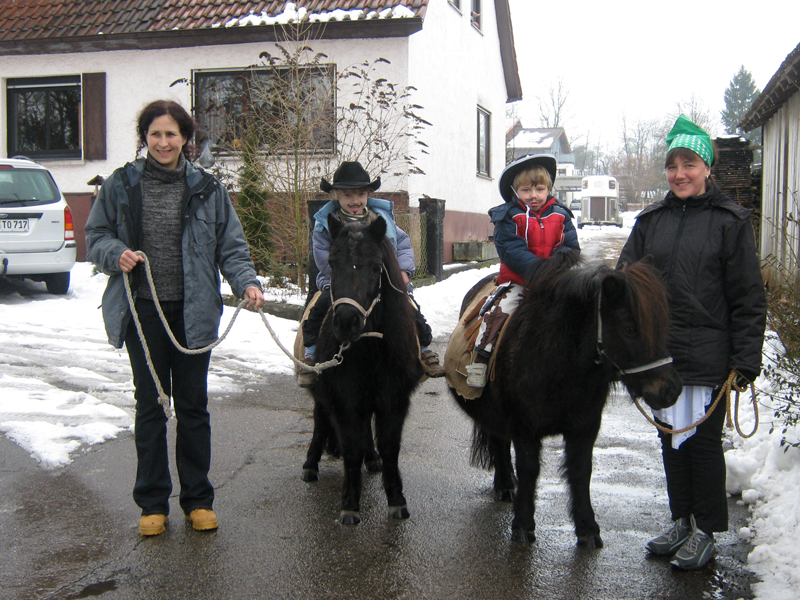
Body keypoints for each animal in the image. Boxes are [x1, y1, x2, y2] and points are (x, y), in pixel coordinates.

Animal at [301, 214, 424, 525]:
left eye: (376, 267)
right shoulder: (345, 401)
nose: (347, 322)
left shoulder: (393, 401)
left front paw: (396, 501)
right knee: (320, 421)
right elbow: (351, 450)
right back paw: (310, 465)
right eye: (332, 264)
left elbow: (390, 448)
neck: (369, 350)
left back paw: (373, 459)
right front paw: (349, 505)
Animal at [446, 251, 682, 547]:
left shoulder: (585, 427)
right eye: (629, 328)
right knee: (499, 441)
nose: (670, 390)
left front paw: (588, 528)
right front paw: (523, 526)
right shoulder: (525, 429)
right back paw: (504, 486)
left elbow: (581, 471)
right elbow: (529, 469)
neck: (559, 361)